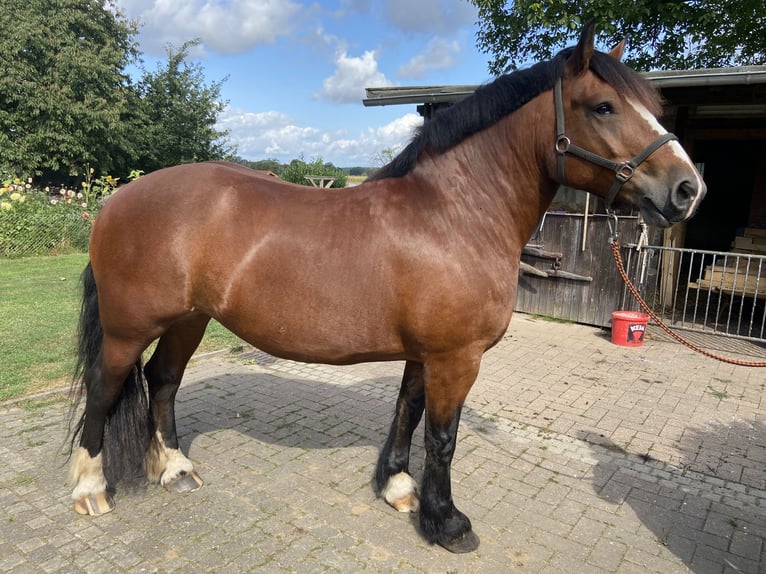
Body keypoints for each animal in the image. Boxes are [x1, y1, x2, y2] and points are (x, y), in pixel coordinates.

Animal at [67, 22, 705, 553]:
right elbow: (443, 438)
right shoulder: (457, 358)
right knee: (106, 388)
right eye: (603, 106)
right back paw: (90, 489)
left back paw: (174, 469)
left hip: (189, 319)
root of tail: (116, 199)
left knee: (163, 381)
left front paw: (398, 488)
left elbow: (408, 411)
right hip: (129, 328)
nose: (688, 189)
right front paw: (447, 523)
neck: (454, 214)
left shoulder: (427, 355)